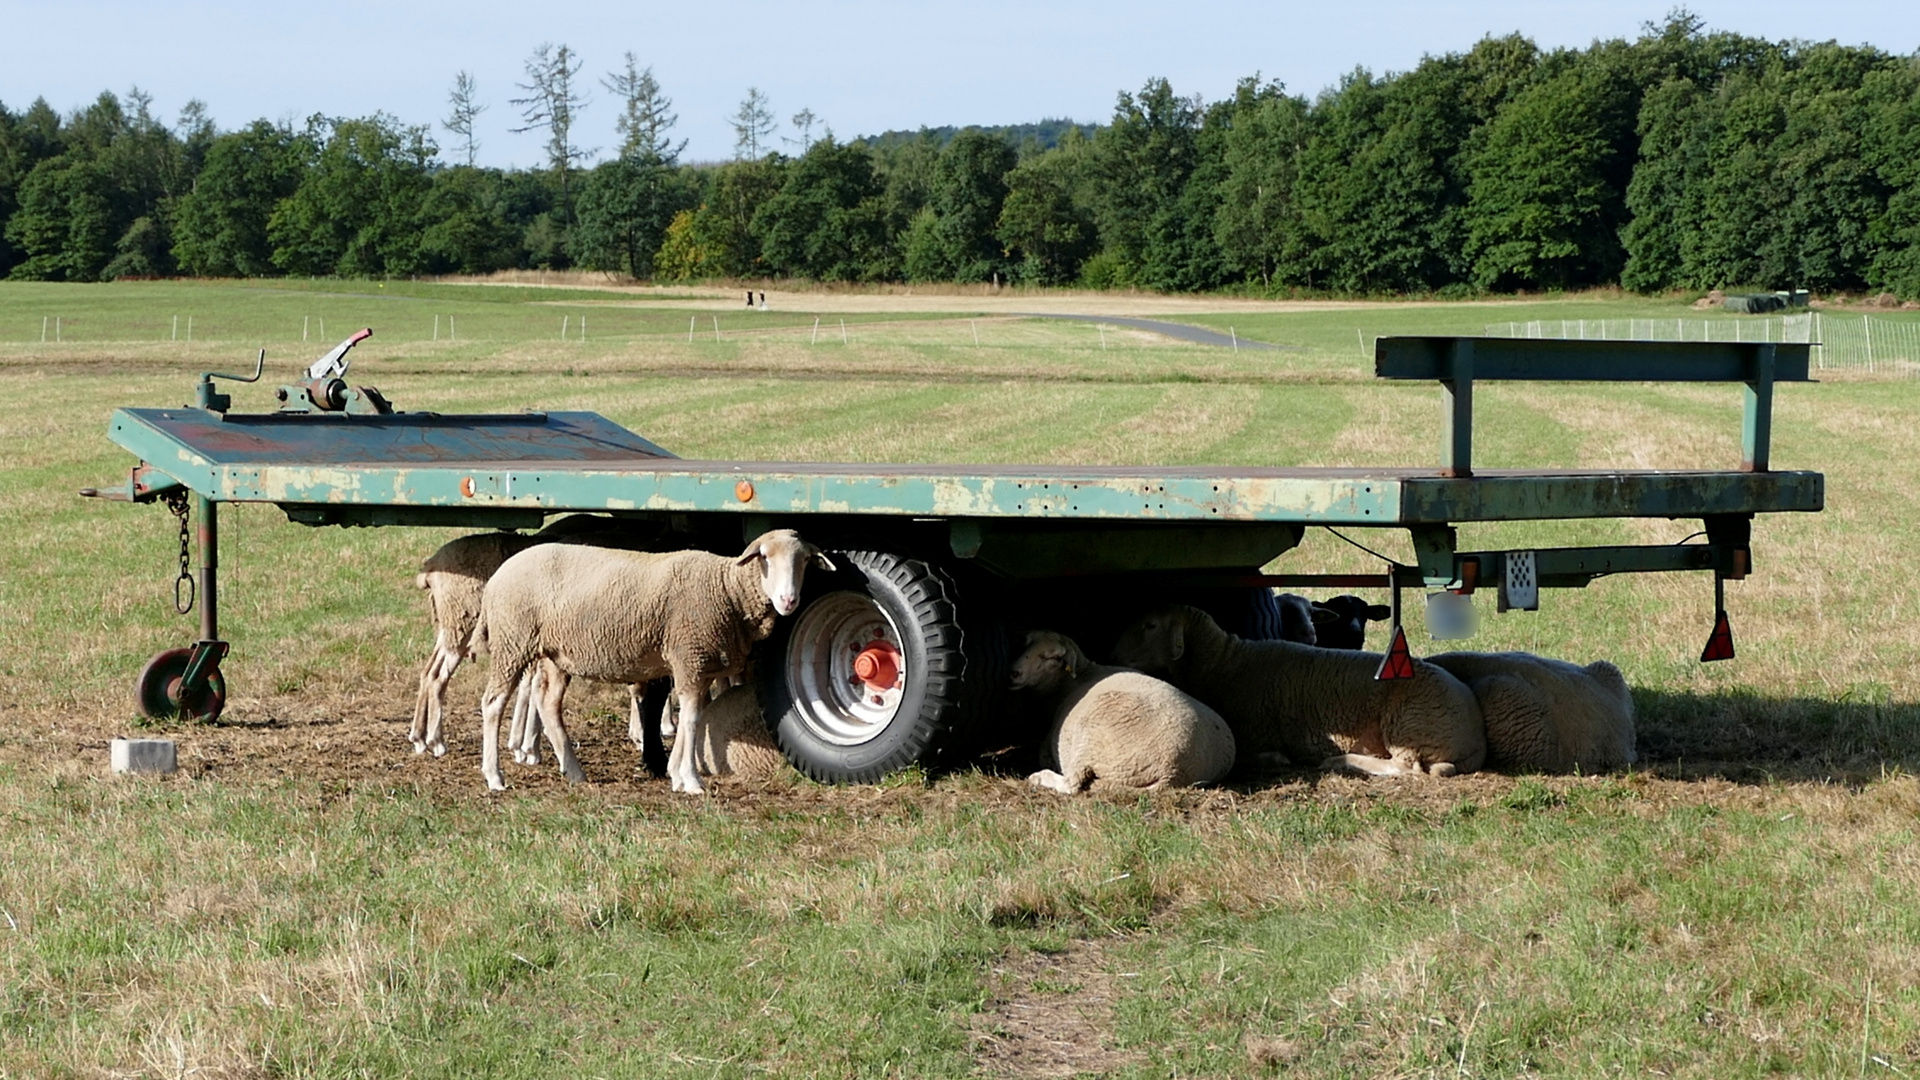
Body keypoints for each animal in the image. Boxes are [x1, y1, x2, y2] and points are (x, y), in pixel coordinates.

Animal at [468, 526, 829, 791]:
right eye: (764, 557)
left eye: (804, 561)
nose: (788, 600)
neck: (726, 589)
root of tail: (497, 577)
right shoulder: (690, 655)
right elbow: (691, 718)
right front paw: (690, 780)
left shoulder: (698, 664)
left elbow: (693, 716)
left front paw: (676, 773)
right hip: (513, 641)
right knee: (493, 703)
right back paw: (494, 776)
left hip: (555, 654)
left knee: (547, 702)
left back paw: (573, 771)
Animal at [1013, 626, 1236, 795]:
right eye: (1024, 645)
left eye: (1050, 657)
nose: (1014, 673)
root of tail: (1173, 772)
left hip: (1093, 739)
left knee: (1072, 784)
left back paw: (1038, 777)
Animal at [1113, 607, 1482, 772]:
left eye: (1150, 625)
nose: (1115, 654)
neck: (1224, 661)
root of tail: (1474, 736)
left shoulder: (1254, 732)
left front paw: (1278, 759)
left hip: (1409, 726)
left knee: (1404, 768)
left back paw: (1339, 760)